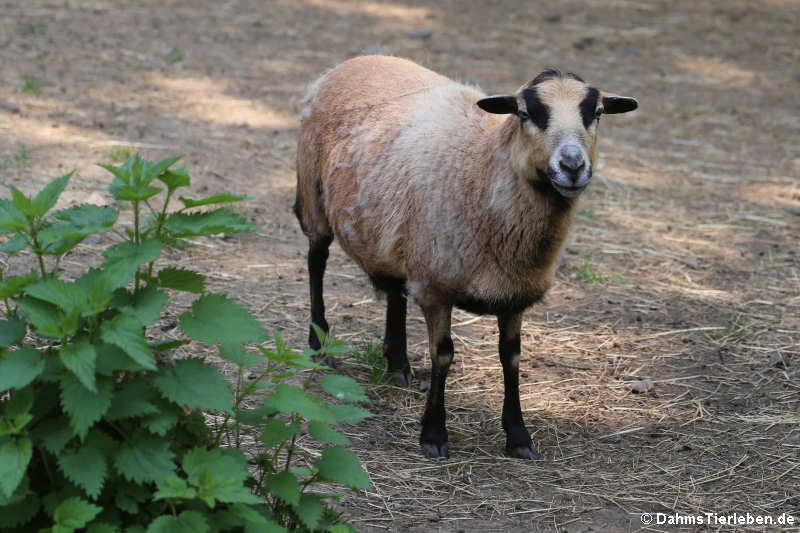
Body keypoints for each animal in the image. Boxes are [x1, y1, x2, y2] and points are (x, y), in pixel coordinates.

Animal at [294, 56, 636, 460]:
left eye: (596, 113)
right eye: (525, 113)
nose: (572, 166)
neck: (484, 167)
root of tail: (354, 61)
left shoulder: (514, 291)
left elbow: (511, 358)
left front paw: (518, 436)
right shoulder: (435, 287)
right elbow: (442, 355)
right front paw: (434, 434)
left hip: (391, 235)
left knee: (393, 290)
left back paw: (397, 364)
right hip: (314, 194)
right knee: (316, 261)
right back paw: (318, 345)